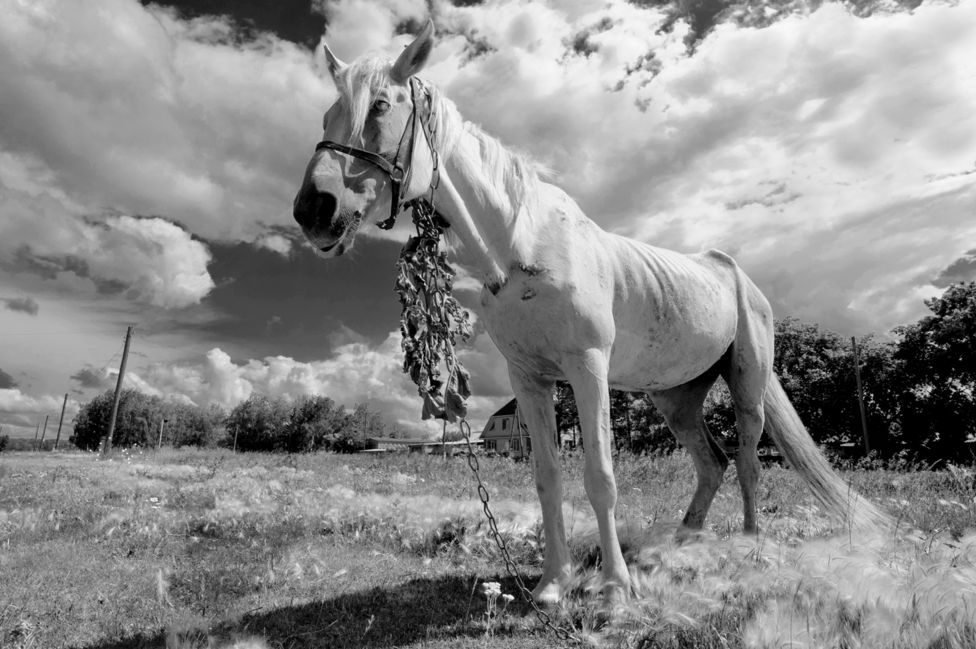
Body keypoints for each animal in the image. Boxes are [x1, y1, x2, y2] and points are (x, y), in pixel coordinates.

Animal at [294, 24, 888, 604]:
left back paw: (747, 548)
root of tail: (738, 276)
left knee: (748, 462)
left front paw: (614, 587)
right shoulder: (530, 380)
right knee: (712, 464)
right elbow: (548, 478)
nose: (313, 210)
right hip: (676, 397)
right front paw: (552, 585)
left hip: (747, 385)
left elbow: (600, 476)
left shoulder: (588, 367)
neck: (523, 248)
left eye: (380, 105)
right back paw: (680, 549)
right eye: (324, 116)